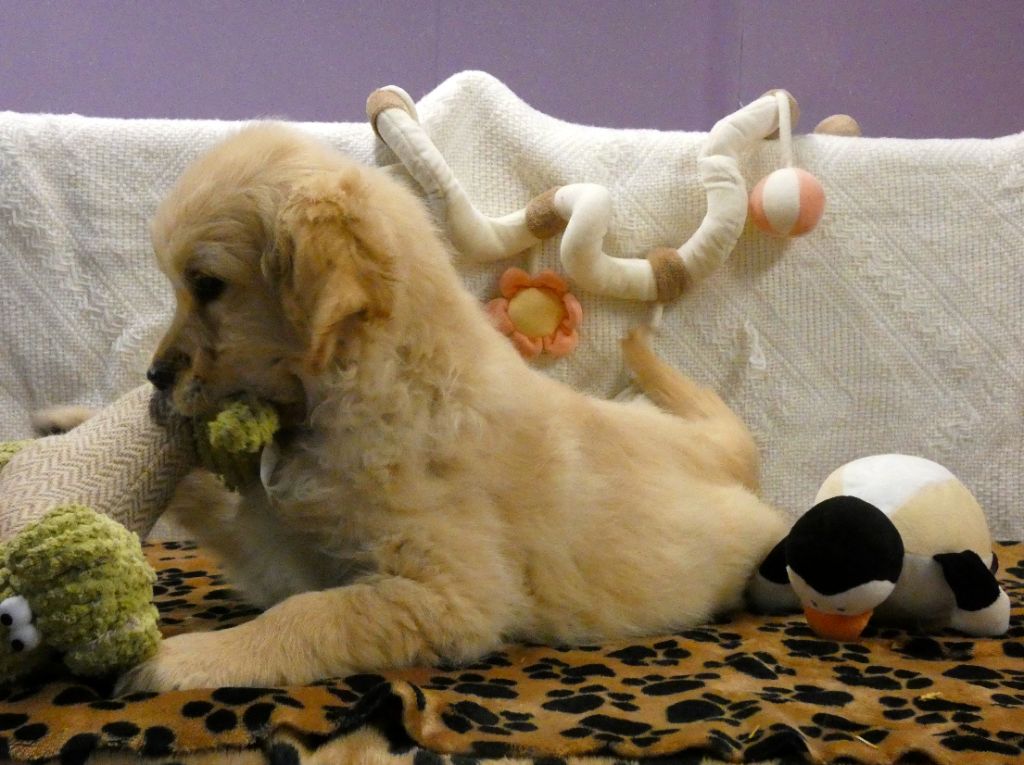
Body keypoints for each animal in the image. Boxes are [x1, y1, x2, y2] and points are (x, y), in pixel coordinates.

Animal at [115, 123, 786, 692]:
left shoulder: (451, 593)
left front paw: (182, 659)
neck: (373, 383)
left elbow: (310, 617)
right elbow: (237, 528)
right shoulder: (294, 550)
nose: (154, 377)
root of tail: (726, 451)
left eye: (206, 285)